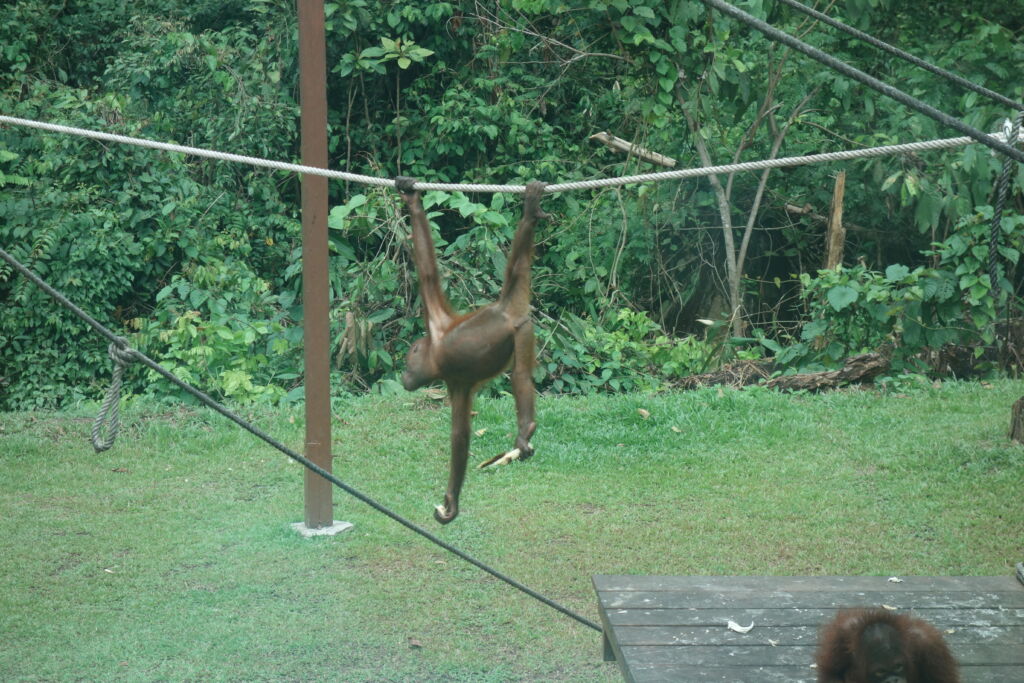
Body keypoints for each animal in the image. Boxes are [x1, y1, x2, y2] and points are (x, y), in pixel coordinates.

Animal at [394, 176, 547, 524]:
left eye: (408, 363)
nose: (404, 377)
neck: (437, 355)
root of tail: (504, 307)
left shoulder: (443, 346)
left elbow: (460, 435)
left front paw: (450, 502)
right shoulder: (451, 364)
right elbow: (427, 271)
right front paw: (411, 198)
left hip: (521, 330)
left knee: (520, 375)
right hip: (524, 327)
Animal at [815, 608, 960, 683]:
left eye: (898, 666)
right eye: (880, 672)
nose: (893, 681)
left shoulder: (929, 645)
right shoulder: (840, 635)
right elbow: (833, 674)